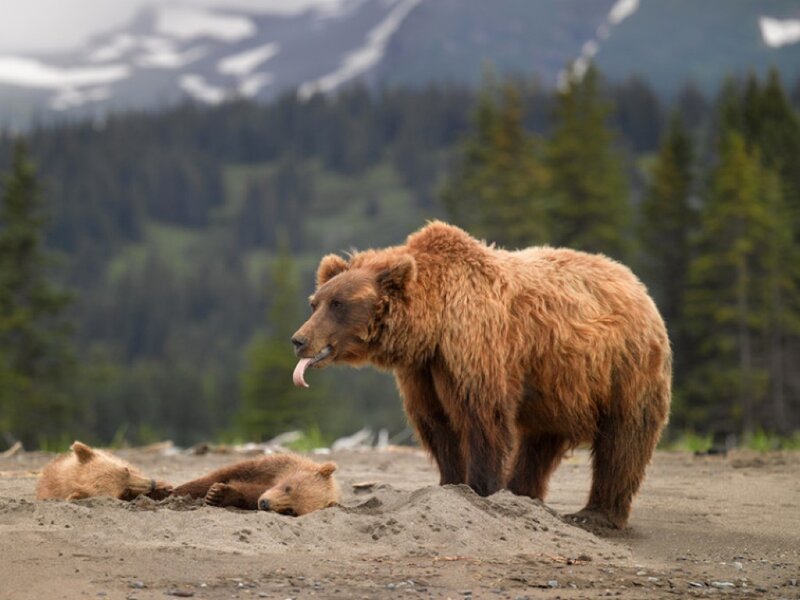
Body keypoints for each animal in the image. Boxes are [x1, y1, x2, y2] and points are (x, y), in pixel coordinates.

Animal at [171, 453, 340, 516]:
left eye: (290, 511)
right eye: (288, 488)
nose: (265, 503)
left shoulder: (256, 494)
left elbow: (246, 494)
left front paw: (218, 495)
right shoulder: (268, 467)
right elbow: (224, 474)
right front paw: (173, 491)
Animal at [291, 221, 671, 528]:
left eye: (338, 303)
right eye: (315, 301)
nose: (299, 339)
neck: (434, 324)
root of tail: (636, 284)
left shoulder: (475, 347)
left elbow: (482, 418)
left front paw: (481, 490)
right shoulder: (423, 371)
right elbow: (437, 424)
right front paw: (450, 482)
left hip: (625, 367)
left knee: (624, 439)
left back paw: (596, 513)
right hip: (556, 385)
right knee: (540, 442)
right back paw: (524, 494)